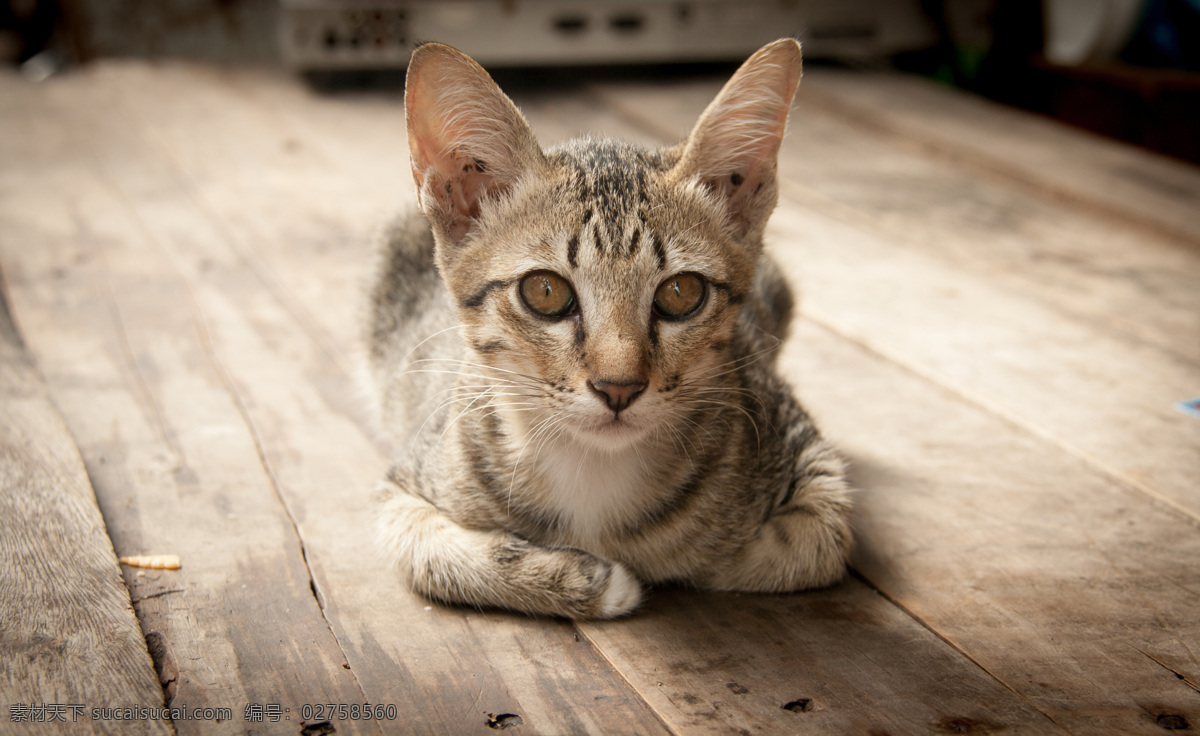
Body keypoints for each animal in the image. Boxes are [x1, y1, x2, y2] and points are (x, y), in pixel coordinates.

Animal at [364, 37, 854, 614]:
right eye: (545, 292)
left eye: (681, 293)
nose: (618, 388)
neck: (592, 471)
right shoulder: (406, 479)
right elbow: (426, 555)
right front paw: (596, 582)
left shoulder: (800, 441)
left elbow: (816, 542)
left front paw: (700, 555)